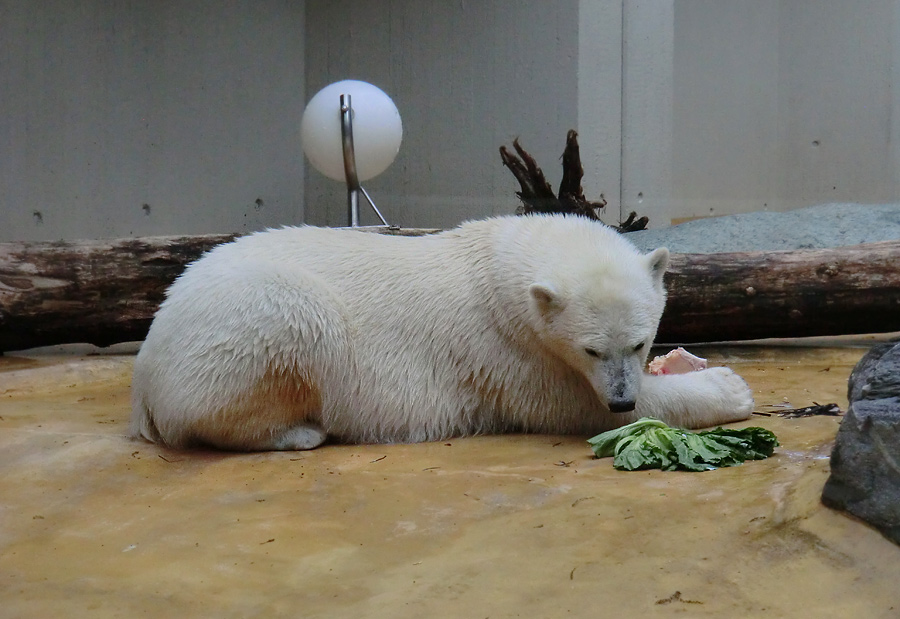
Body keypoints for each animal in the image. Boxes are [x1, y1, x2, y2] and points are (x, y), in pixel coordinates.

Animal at [130, 216, 756, 452]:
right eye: (591, 348)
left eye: (640, 341)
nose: (622, 395)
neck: (495, 263)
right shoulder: (505, 346)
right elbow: (572, 406)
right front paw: (729, 388)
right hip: (251, 320)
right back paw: (299, 432)